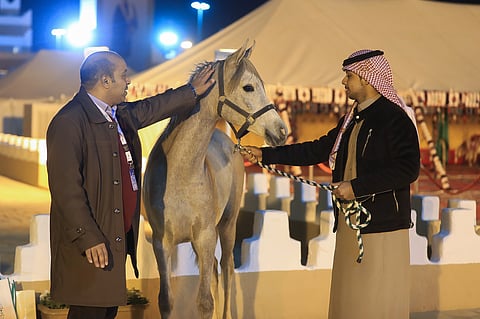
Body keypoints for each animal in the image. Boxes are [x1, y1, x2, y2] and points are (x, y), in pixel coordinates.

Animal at [142, 43, 284, 319]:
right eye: (248, 87)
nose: (281, 131)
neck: (181, 174)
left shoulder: (206, 237)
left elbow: (205, 303)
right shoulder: (161, 243)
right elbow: (166, 301)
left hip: (227, 226)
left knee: (227, 269)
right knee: (218, 269)